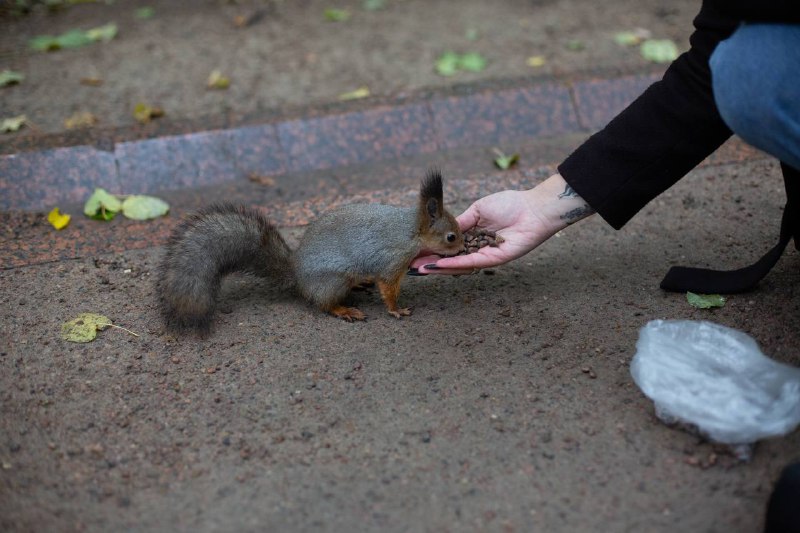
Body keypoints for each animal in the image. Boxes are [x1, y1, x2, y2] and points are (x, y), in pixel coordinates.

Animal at [157, 168, 462, 332]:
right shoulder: (391, 260)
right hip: (334, 280)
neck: (410, 232)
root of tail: (297, 273)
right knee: (323, 304)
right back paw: (345, 310)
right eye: (450, 236)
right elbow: (388, 289)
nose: (461, 249)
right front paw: (396, 310)